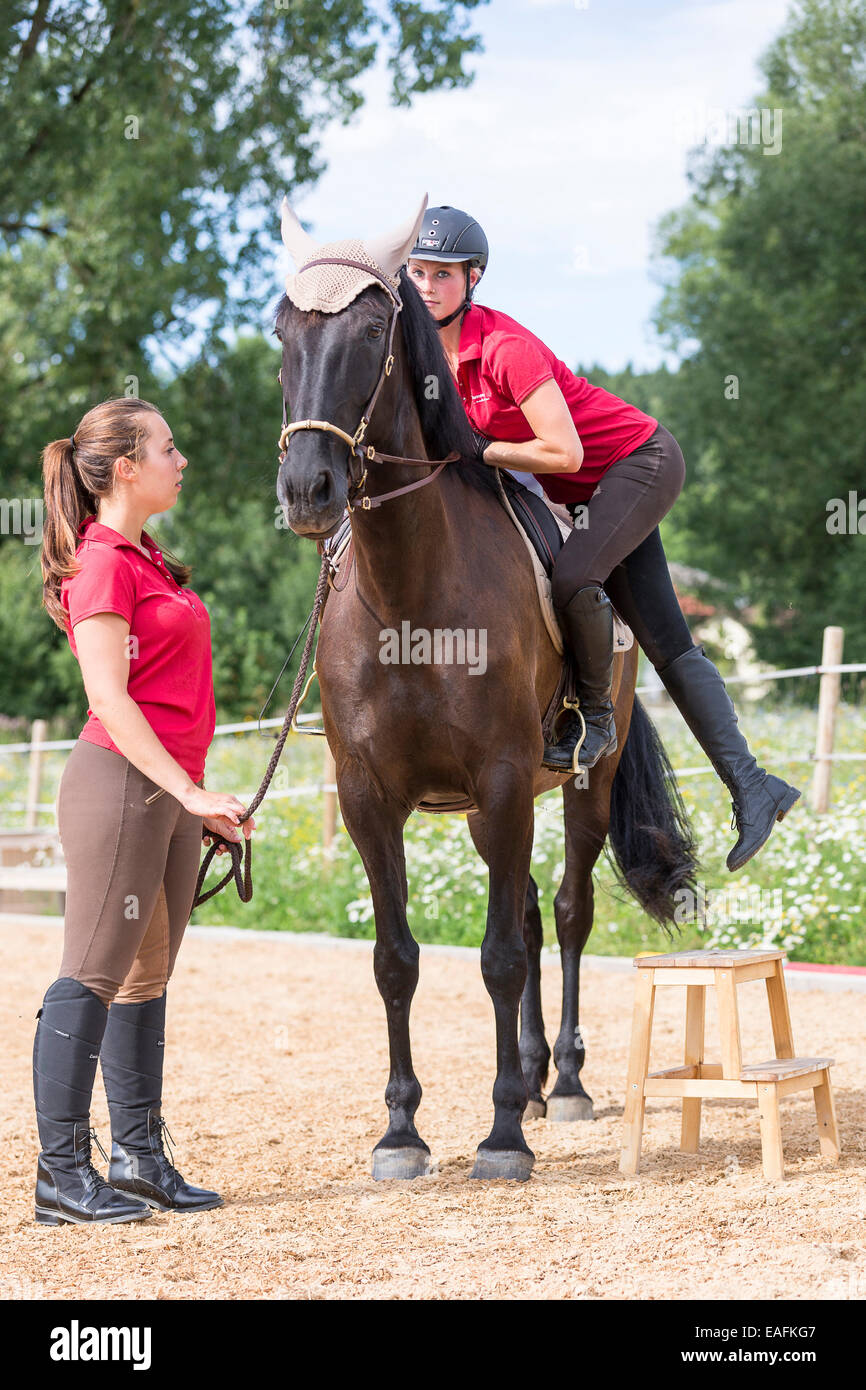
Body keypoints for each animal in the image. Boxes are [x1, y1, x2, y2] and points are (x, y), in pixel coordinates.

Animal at [273, 195, 697, 1181]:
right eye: (281, 331)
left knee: (569, 913)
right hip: (478, 810)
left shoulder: (504, 779)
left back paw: (563, 1085)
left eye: (372, 331)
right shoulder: (372, 798)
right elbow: (395, 958)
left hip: (582, 778)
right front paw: (401, 1133)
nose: (308, 489)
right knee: (536, 911)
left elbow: (500, 956)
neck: (409, 593)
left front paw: (502, 1134)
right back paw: (536, 1080)